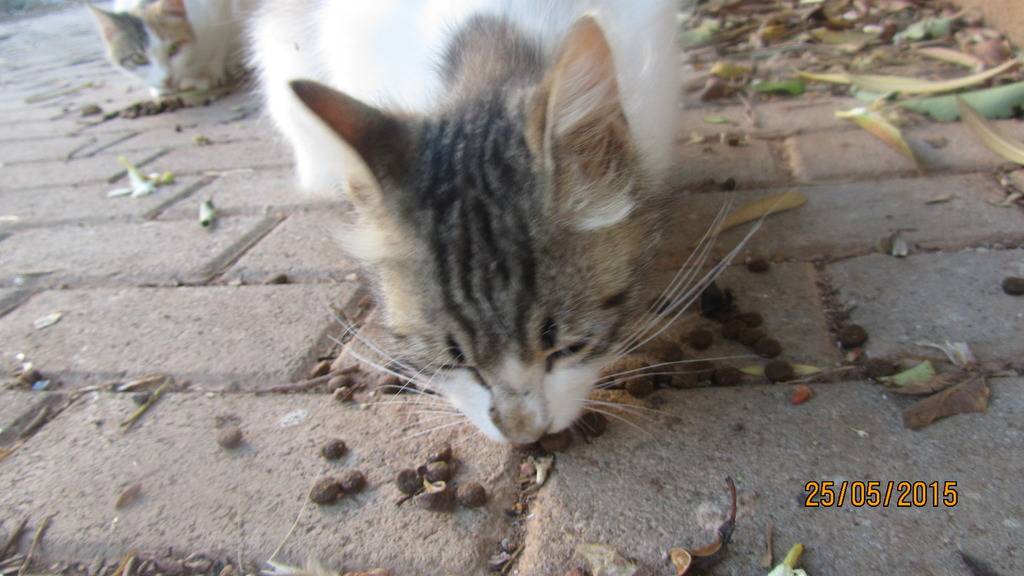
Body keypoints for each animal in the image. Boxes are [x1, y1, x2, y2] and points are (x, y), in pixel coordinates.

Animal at [88, 0, 256, 97]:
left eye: (174, 48)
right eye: (139, 58)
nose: (166, 79)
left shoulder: (220, 13)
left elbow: (220, 44)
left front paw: (208, 74)